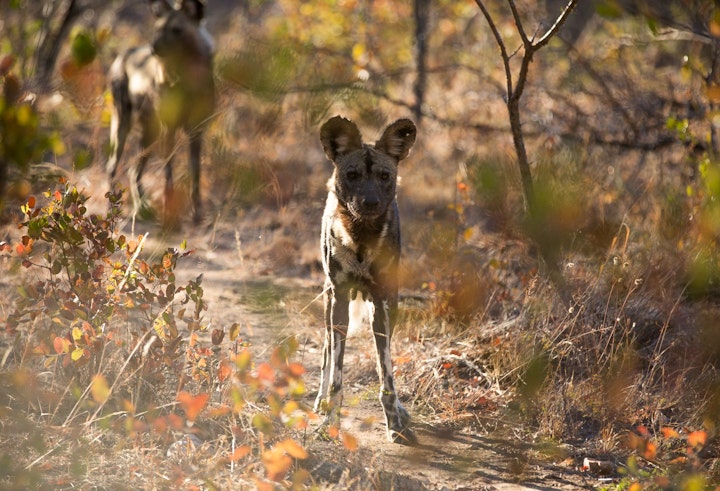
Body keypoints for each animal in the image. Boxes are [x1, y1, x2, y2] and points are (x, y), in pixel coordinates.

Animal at [105, 0, 215, 224]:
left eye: (177, 30)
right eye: (158, 29)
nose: (154, 48)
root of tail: (123, 55)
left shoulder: (196, 131)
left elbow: (195, 175)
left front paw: (197, 214)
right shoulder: (169, 129)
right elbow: (168, 176)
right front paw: (169, 214)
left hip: (151, 134)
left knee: (133, 171)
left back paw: (142, 209)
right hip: (123, 125)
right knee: (112, 166)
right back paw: (113, 210)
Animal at [314, 116, 416, 446]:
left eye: (385, 176)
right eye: (352, 175)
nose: (370, 202)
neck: (361, 236)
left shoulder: (382, 301)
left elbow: (387, 376)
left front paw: (395, 423)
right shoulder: (340, 300)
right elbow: (337, 375)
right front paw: (330, 422)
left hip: (389, 307)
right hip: (330, 304)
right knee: (325, 351)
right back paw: (319, 401)